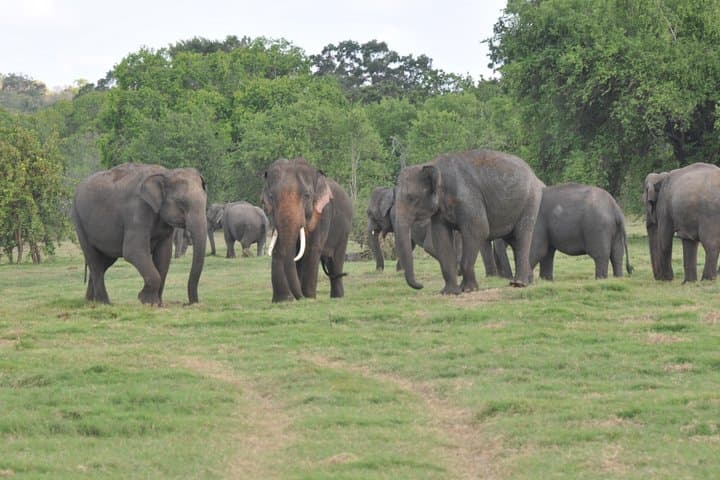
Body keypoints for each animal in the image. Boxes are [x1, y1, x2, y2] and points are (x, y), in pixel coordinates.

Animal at [72, 163, 208, 305]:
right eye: (181, 204)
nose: (190, 303)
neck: (166, 173)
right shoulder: (138, 211)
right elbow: (133, 251)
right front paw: (147, 301)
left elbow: (164, 254)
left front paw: (158, 303)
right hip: (78, 220)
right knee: (95, 262)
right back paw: (104, 302)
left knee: (104, 261)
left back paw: (90, 301)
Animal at [262, 157, 352, 302]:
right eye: (271, 196)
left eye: (307, 195)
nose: (299, 298)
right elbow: (279, 247)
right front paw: (283, 300)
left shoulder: (323, 213)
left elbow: (312, 249)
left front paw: (309, 298)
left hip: (344, 232)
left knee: (336, 261)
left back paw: (337, 297)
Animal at [395, 149, 544, 293]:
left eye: (411, 198)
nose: (421, 285)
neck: (433, 164)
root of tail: (535, 176)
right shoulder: (439, 212)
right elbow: (441, 237)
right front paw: (449, 292)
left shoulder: (468, 199)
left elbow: (479, 230)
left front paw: (468, 289)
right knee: (513, 240)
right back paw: (528, 280)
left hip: (530, 201)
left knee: (521, 237)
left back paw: (519, 284)